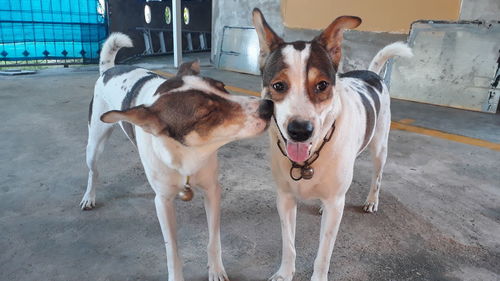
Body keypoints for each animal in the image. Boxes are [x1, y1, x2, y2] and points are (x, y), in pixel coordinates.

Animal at [80, 33, 274, 280]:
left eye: (223, 88)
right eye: (207, 114)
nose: (268, 106)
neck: (186, 155)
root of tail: (109, 69)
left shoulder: (212, 191)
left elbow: (214, 239)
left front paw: (216, 269)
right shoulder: (163, 204)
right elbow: (172, 250)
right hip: (95, 144)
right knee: (93, 171)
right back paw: (89, 196)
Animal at [252, 8, 412, 280]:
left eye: (322, 85)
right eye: (278, 85)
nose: (300, 131)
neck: (308, 158)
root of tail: (371, 73)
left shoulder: (336, 204)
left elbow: (323, 254)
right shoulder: (284, 198)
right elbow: (289, 245)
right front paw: (285, 273)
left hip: (379, 147)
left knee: (377, 176)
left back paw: (372, 200)